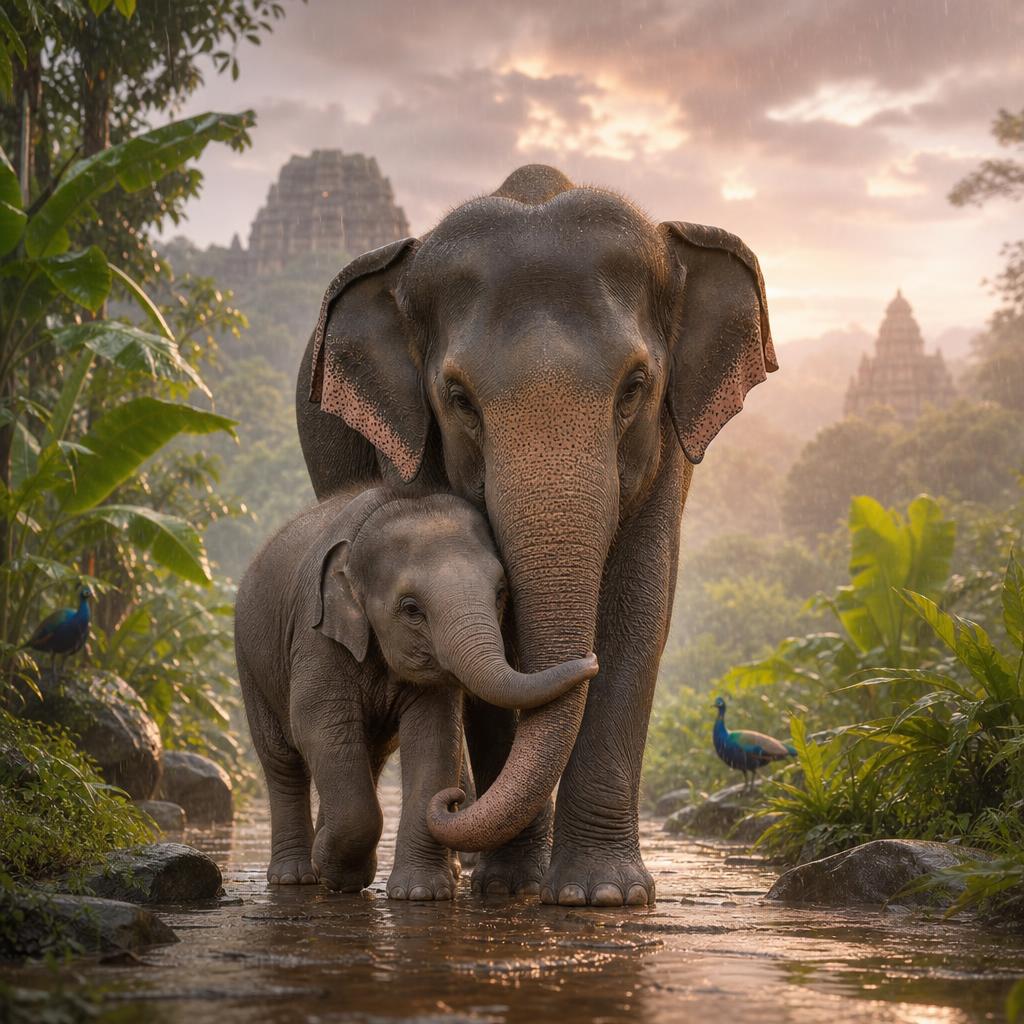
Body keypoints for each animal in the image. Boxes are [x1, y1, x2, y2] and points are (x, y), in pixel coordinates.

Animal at [234, 484, 598, 897]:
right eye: (411, 609)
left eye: (501, 593)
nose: (593, 659)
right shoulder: (317, 636)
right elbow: (318, 727)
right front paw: (333, 872)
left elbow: (434, 737)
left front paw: (420, 893)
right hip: (249, 660)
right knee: (282, 760)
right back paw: (294, 877)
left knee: (368, 754)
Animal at [295, 164, 777, 906]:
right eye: (458, 397)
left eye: (636, 385)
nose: (450, 806)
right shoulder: (411, 440)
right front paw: (509, 887)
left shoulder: (670, 450)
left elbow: (639, 611)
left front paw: (602, 895)